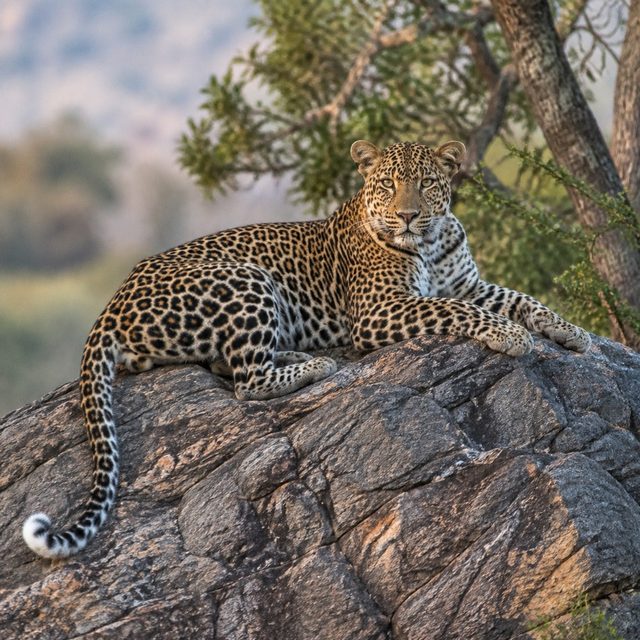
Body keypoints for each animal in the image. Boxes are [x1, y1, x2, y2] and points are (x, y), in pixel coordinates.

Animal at [22, 139, 590, 559]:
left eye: (427, 183)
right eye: (389, 185)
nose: (408, 216)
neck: (430, 244)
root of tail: (111, 303)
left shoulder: (467, 285)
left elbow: (519, 297)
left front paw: (571, 331)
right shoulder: (382, 310)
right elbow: (461, 312)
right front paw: (509, 335)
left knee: (225, 362)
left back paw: (297, 355)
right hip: (246, 277)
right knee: (246, 381)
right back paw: (313, 366)